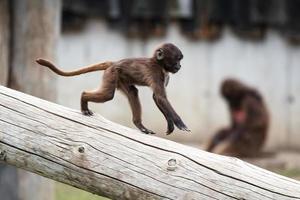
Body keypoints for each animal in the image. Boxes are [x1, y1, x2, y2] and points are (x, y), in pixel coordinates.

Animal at [35, 43, 190, 135]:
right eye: (177, 59)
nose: (179, 66)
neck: (159, 64)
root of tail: (114, 63)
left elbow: (157, 98)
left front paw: (170, 125)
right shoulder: (156, 73)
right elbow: (160, 97)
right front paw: (180, 123)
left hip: (120, 78)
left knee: (132, 92)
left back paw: (140, 125)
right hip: (112, 74)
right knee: (108, 95)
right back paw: (84, 99)